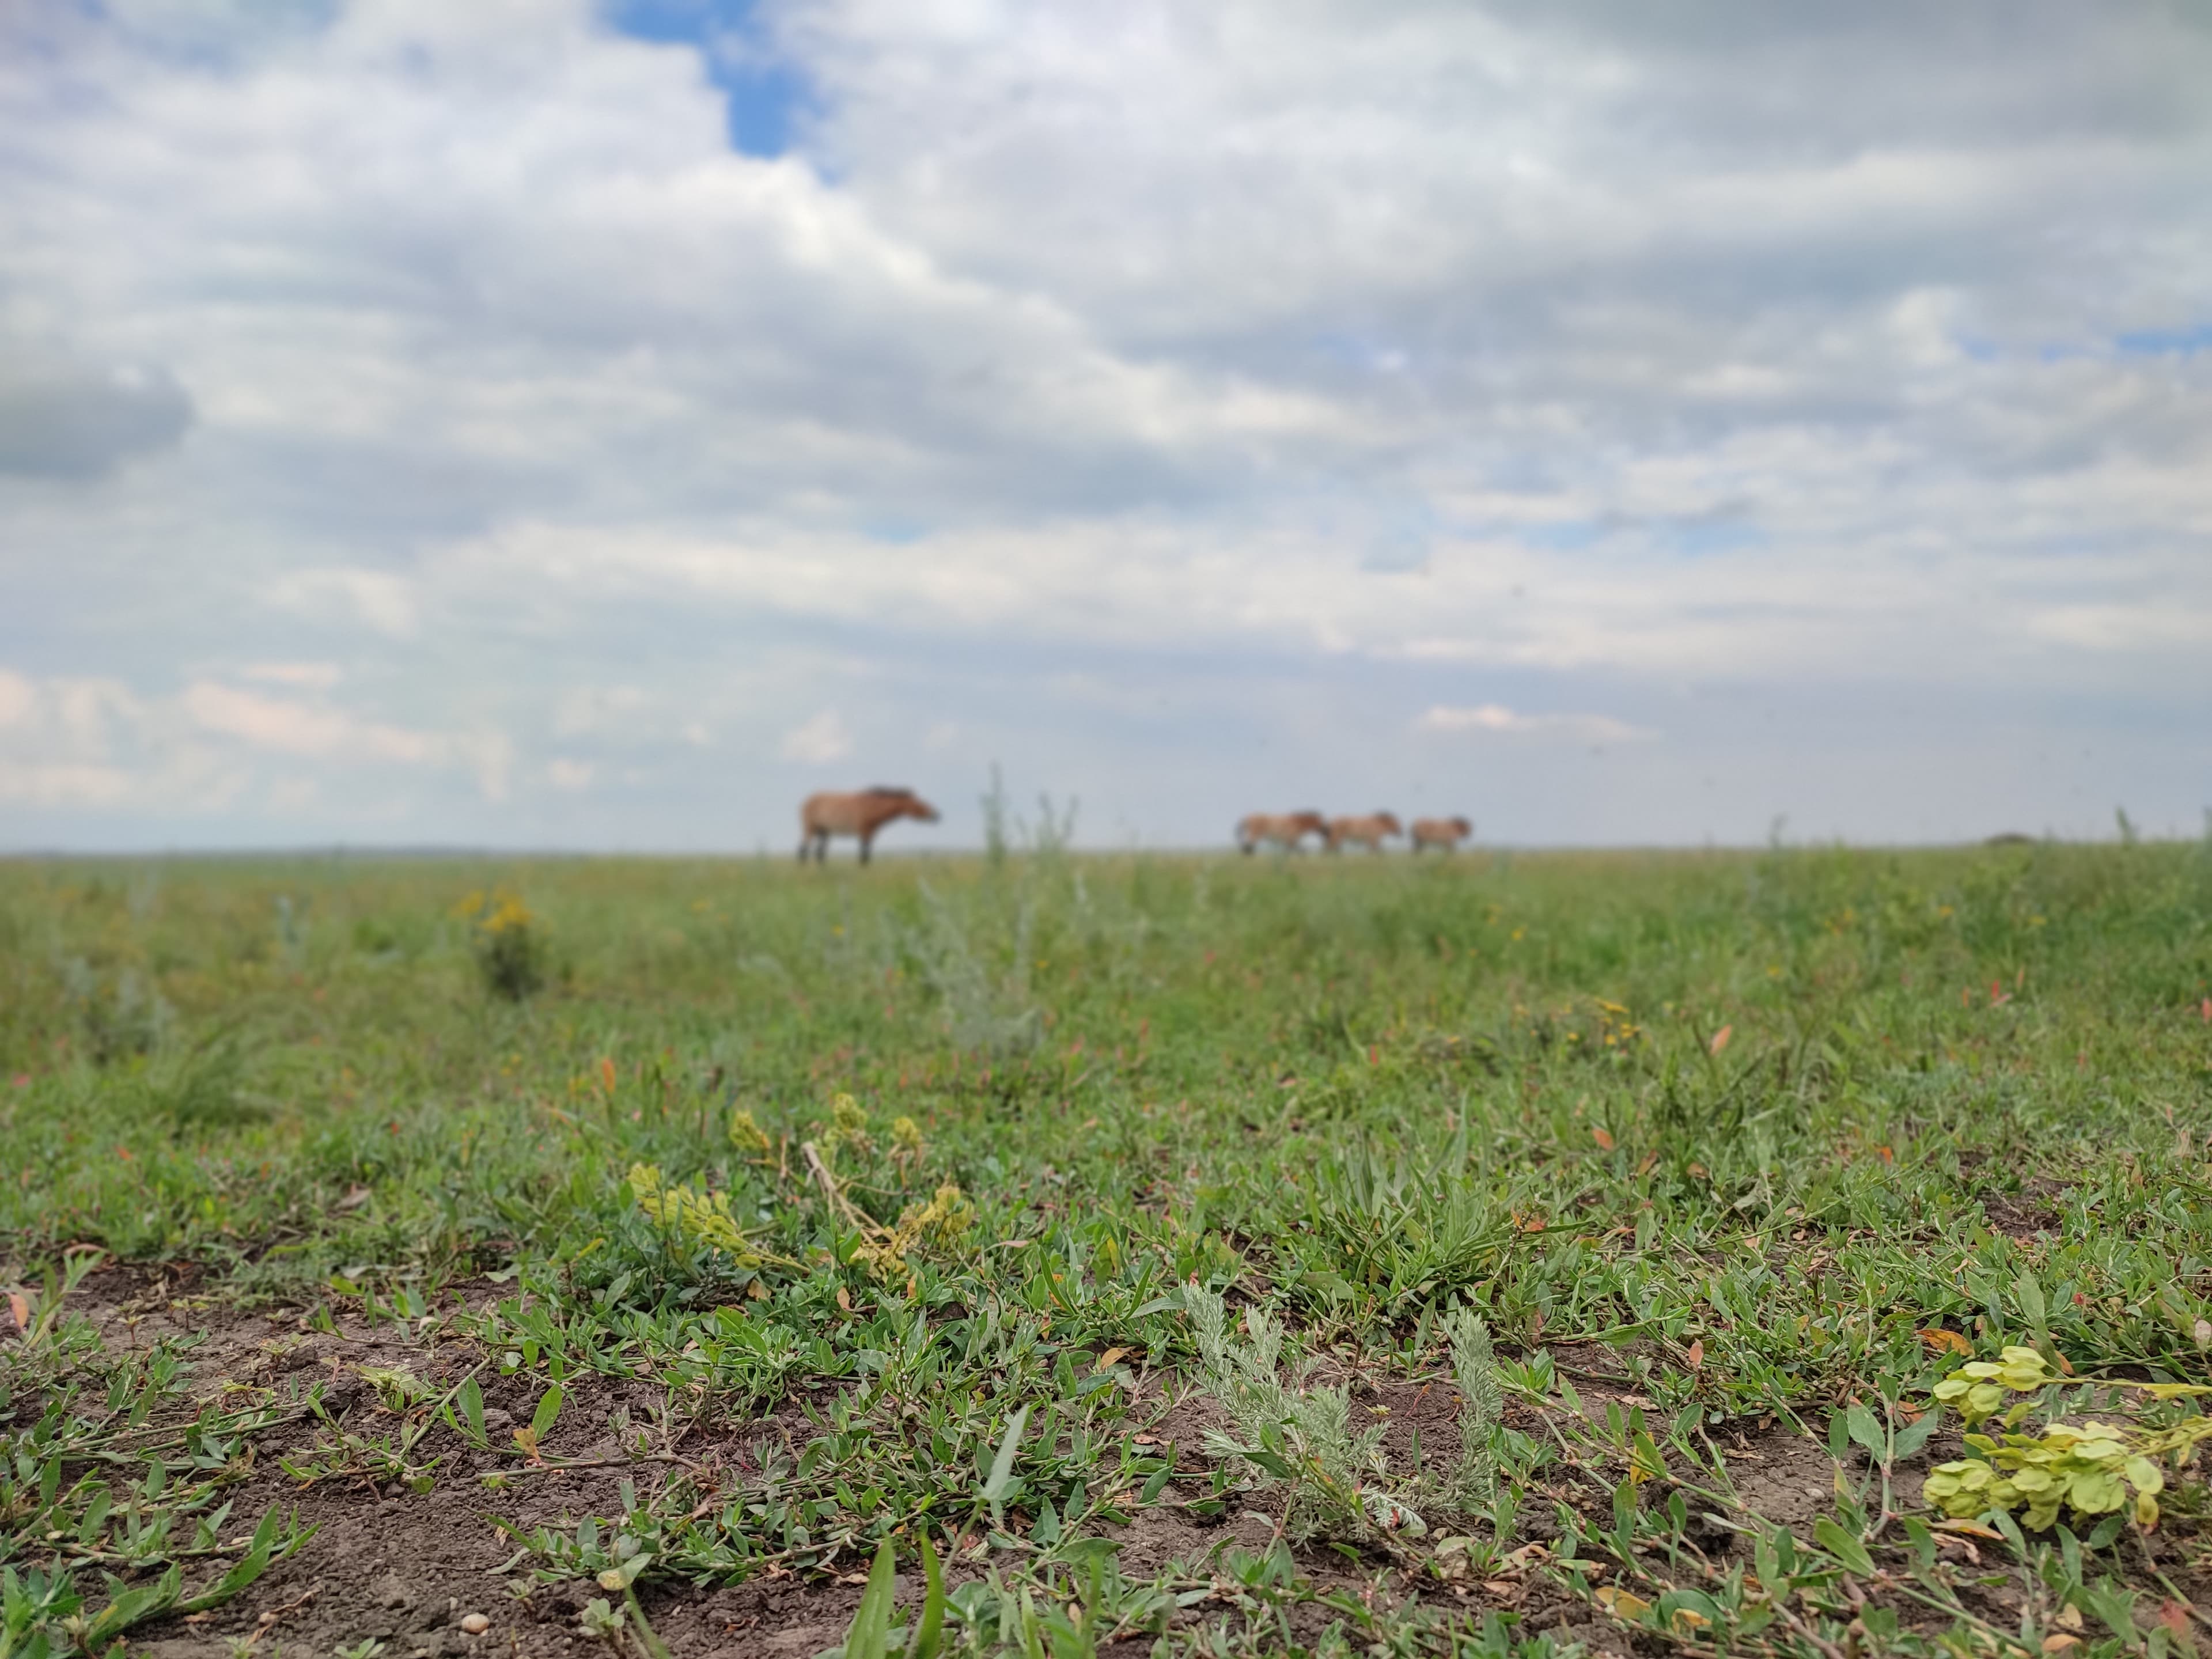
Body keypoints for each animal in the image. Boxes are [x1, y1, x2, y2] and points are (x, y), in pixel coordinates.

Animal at [799, 787, 940, 864]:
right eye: (921, 804)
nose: (938, 816)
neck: (872, 806)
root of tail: (807, 800)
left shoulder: (871, 832)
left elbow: (867, 854)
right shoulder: (865, 830)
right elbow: (864, 855)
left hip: (824, 831)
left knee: (820, 853)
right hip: (810, 828)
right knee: (803, 850)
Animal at [1236, 811, 1327, 854]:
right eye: (1322, 821)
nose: (1327, 832)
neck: (1296, 823)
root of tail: (1248, 818)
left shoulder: (1290, 842)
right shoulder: (1291, 841)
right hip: (1255, 834)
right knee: (1248, 846)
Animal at [1325, 811, 1403, 852]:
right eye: (1396, 823)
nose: (1401, 833)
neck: (1378, 823)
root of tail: (1333, 822)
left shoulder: (1371, 840)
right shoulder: (1374, 839)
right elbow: (1377, 851)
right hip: (1336, 836)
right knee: (1329, 846)